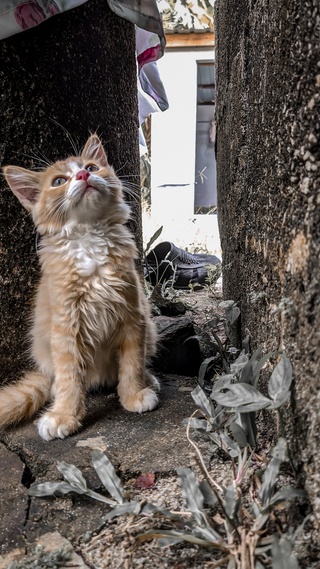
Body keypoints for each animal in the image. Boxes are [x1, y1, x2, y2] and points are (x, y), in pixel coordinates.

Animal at [0, 135, 159, 442]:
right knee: (58, 380)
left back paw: (148, 379)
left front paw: (133, 394)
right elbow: (70, 377)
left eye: (92, 167)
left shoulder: (134, 317)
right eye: (59, 181)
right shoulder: (66, 329)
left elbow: (132, 364)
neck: (89, 236)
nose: (84, 176)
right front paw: (65, 415)